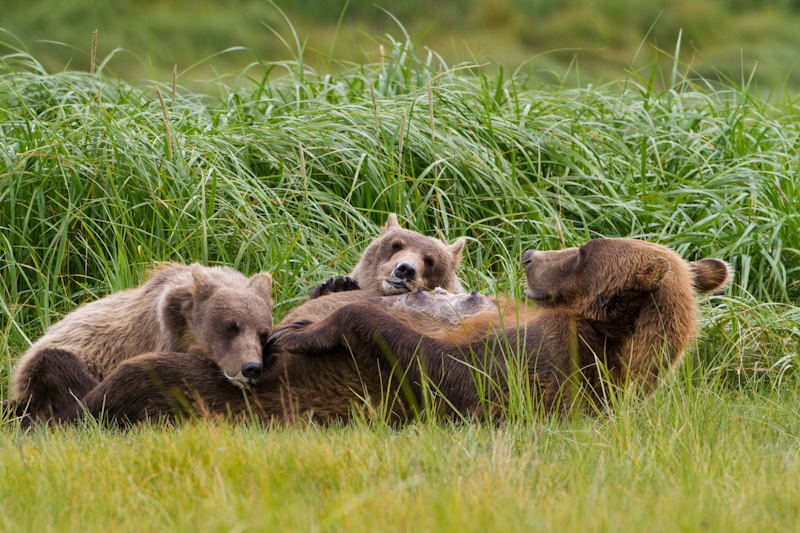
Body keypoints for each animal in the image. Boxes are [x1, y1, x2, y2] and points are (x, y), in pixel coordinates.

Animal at [53, 237, 728, 424]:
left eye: (585, 251)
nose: (531, 254)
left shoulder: (545, 366)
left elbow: (452, 377)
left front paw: (307, 332)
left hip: (198, 387)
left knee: (131, 383)